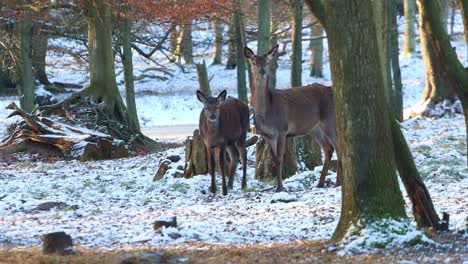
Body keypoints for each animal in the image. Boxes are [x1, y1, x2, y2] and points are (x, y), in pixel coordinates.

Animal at [245, 44, 340, 191]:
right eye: (254, 62)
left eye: (267, 62)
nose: (262, 72)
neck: (267, 114)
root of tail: (331, 89)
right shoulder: (267, 135)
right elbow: (274, 159)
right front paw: (278, 186)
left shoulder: (282, 130)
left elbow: (279, 159)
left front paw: (280, 188)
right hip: (315, 128)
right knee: (328, 149)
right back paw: (320, 183)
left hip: (330, 120)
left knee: (339, 147)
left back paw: (338, 182)